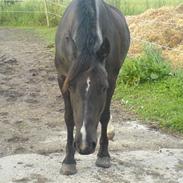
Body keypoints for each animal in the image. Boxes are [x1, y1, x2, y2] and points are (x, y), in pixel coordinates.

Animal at [54, 0, 130, 175]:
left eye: (103, 87)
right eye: (71, 87)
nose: (84, 145)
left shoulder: (111, 79)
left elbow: (104, 116)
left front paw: (103, 155)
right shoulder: (62, 78)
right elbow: (69, 118)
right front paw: (68, 160)